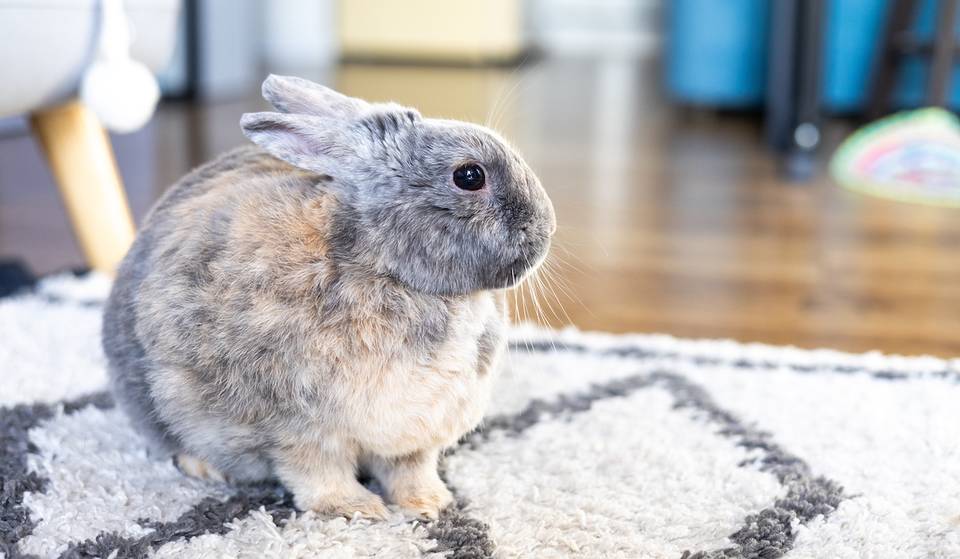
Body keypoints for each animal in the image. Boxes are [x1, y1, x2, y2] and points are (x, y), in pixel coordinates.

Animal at [101, 75, 556, 520]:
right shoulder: (297, 430)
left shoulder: (415, 436)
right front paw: (359, 509)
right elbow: (318, 474)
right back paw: (206, 468)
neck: (383, 264)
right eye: (469, 176)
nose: (547, 227)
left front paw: (429, 505)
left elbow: (409, 470)